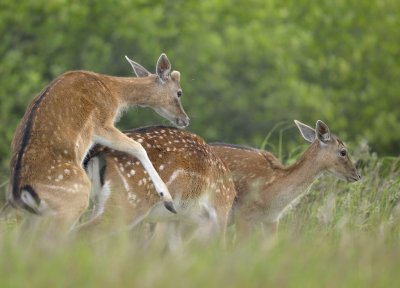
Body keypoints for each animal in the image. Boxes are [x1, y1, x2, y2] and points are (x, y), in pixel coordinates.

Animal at [7, 52, 189, 232]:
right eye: (179, 92)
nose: (186, 119)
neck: (115, 94)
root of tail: (21, 193)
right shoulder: (102, 124)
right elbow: (138, 147)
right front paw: (168, 201)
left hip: (28, 218)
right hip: (73, 202)